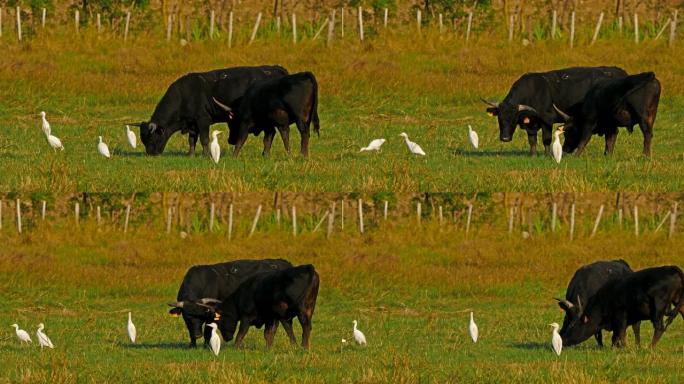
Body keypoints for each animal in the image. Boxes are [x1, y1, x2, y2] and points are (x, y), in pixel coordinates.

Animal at [130, 65, 288, 155]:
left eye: (153, 137)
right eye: (143, 139)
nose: (151, 153)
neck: (185, 95)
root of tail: (276, 69)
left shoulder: (203, 120)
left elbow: (204, 139)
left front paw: (206, 155)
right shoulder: (192, 123)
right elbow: (192, 140)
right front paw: (191, 154)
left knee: (270, 133)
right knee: (270, 133)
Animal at [480, 67, 624, 155]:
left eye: (514, 119)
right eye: (500, 118)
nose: (505, 138)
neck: (533, 92)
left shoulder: (547, 120)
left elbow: (546, 139)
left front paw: (547, 155)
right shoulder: (531, 125)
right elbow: (532, 140)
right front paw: (533, 155)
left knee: (612, 133)